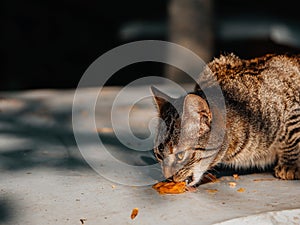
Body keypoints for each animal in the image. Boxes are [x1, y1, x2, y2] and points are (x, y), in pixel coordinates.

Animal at [152, 53, 300, 186]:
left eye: (180, 155)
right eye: (159, 155)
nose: (168, 177)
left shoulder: (292, 108)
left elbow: (292, 135)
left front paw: (290, 165)